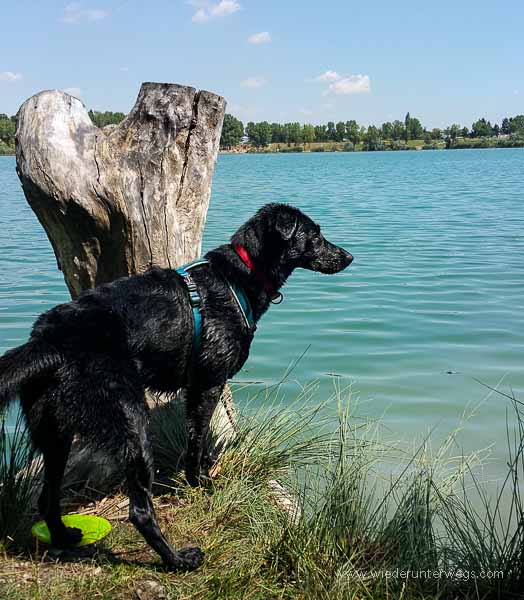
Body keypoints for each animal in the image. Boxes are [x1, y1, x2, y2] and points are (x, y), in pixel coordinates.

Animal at [0, 204, 354, 568]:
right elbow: (196, 442)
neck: (238, 277)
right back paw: (178, 560)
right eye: (315, 235)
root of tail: (48, 341)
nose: (349, 256)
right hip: (131, 425)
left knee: (47, 498)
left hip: (54, 432)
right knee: (139, 511)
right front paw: (200, 483)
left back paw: (64, 538)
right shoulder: (207, 384)